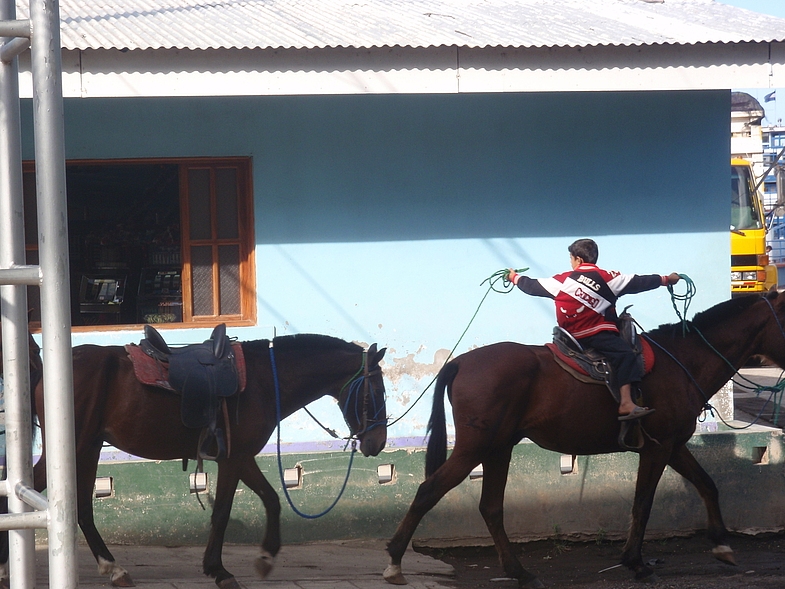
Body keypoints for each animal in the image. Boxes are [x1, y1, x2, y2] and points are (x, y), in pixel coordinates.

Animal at [2, 330, 386, 588]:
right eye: (375, 392)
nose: (377, 442)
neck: (265, 381)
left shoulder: (240, 457)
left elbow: (272, 500)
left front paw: (264, 558)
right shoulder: (234, 458)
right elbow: (224, 511)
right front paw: (221, 570)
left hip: (87, 447)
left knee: (78, 507)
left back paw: (111, 568)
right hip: (78, 445)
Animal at [382, 292, 784, 584]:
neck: (682, 362)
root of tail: (461, 362)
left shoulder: (673, 446)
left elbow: (707, 485)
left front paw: (721, 545)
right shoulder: (659, 448)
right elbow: (643, 503)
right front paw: (636, 563)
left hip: (498, 448)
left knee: (490, 507)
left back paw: (518, 571)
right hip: (475, 448)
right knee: (428, 491)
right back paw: (395, 561)